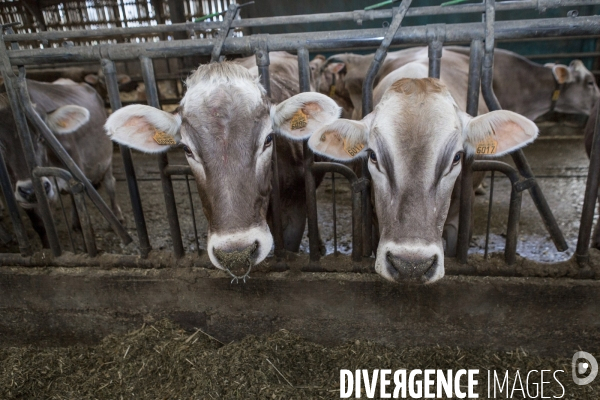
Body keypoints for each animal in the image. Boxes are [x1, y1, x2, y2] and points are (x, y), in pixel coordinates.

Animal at [0, 78, 123, 247]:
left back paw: (117, 215)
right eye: (0, 144)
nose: (31, 190)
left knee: (110, 184)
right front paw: (47, 246)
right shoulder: (18, 194)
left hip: (106, 158)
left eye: (41, 137)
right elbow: (40, 224)